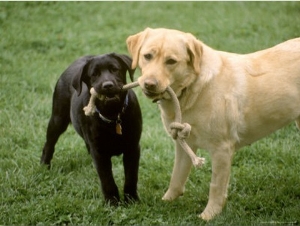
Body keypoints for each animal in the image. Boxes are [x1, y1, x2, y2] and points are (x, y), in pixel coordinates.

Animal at [41, 53, 143, 205]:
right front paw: (112, 203)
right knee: (49, 144)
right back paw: (44, 166)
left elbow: (131, 177)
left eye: (115, 69)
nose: (107, 85)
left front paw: (131, 200)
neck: (113, 115)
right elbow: (107, 179)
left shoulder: (132, 147)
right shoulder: (99, 152)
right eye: (94, 74)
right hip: (57, 118)